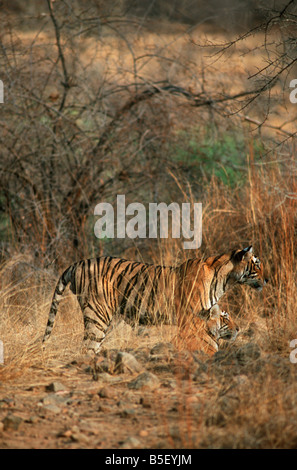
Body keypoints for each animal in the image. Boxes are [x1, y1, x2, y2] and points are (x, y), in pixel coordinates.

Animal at [42, 246, 268, 352]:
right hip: (97, 314)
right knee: (87, 348)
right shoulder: (190, 319)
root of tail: (77, 263)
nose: (267, 279)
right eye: (257, 264)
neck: (225, 279)